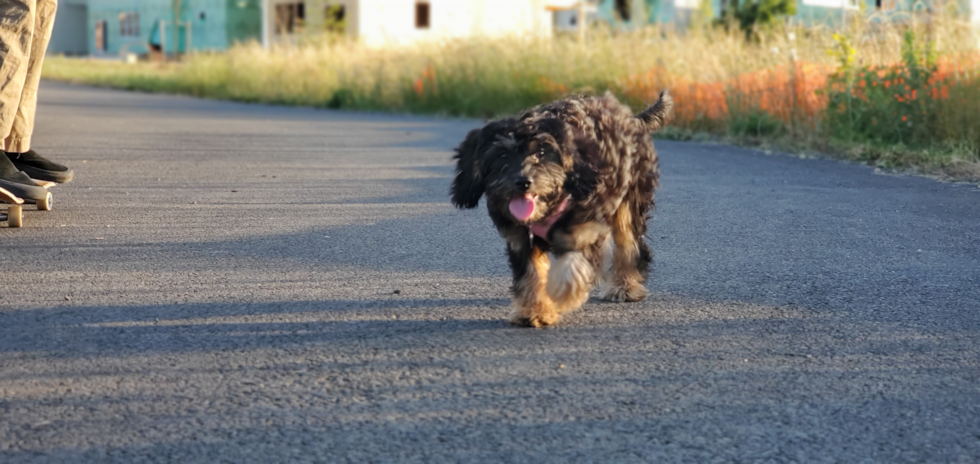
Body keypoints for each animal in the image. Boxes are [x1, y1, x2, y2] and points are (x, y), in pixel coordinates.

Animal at [452, 90, 672, 328]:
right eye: (502, 155)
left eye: (541, 152)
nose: (523, 182)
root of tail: (632, 119)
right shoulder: (520, 237)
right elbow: (530, 272)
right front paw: (534, 311)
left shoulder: (585, 221)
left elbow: (572, 264)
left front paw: (561, 294)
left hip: (630, 198)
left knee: (629, 244)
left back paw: (625, 286)